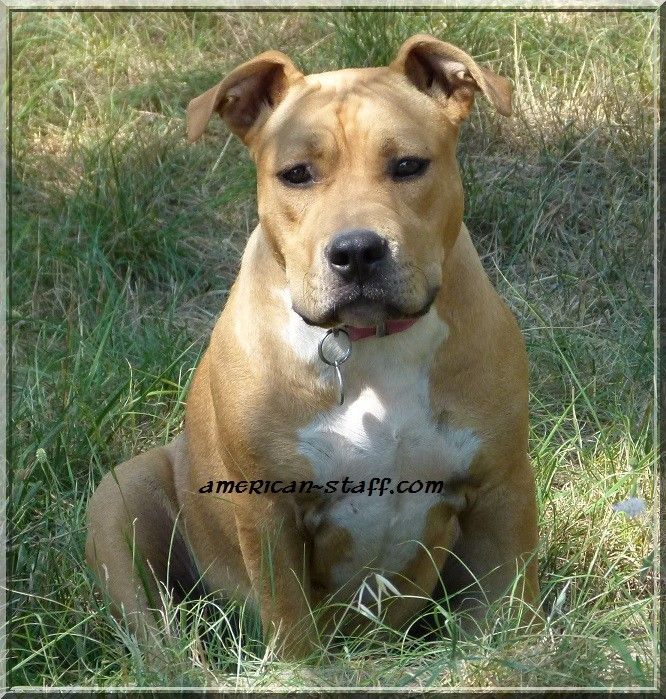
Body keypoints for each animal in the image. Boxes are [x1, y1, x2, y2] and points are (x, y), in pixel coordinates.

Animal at [86, 34, 539, 660]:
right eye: (296, 174)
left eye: (408, 165)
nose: (356, 251)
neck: (370, 345)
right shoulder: (268, 508)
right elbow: (291, 624)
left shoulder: (502, 487)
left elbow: (508, 607)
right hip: (118, 497)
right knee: (156, 633)